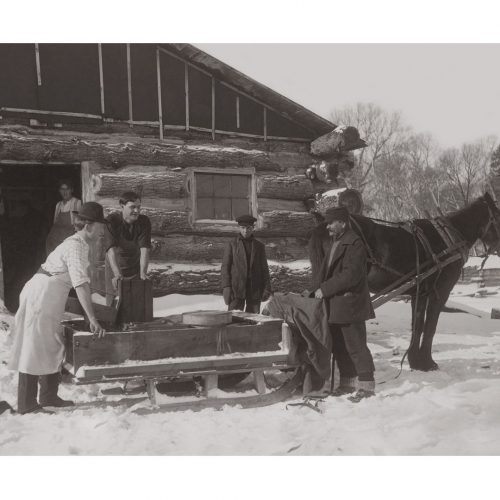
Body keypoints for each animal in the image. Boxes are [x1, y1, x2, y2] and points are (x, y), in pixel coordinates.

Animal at [306, 191, 500, 372]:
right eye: (498, 216)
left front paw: (416, 361)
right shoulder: (439, 292)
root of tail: (324, 225)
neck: (448, 240)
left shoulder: (419, 292)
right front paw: (427, 362)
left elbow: (417, 326)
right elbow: (430, 327)